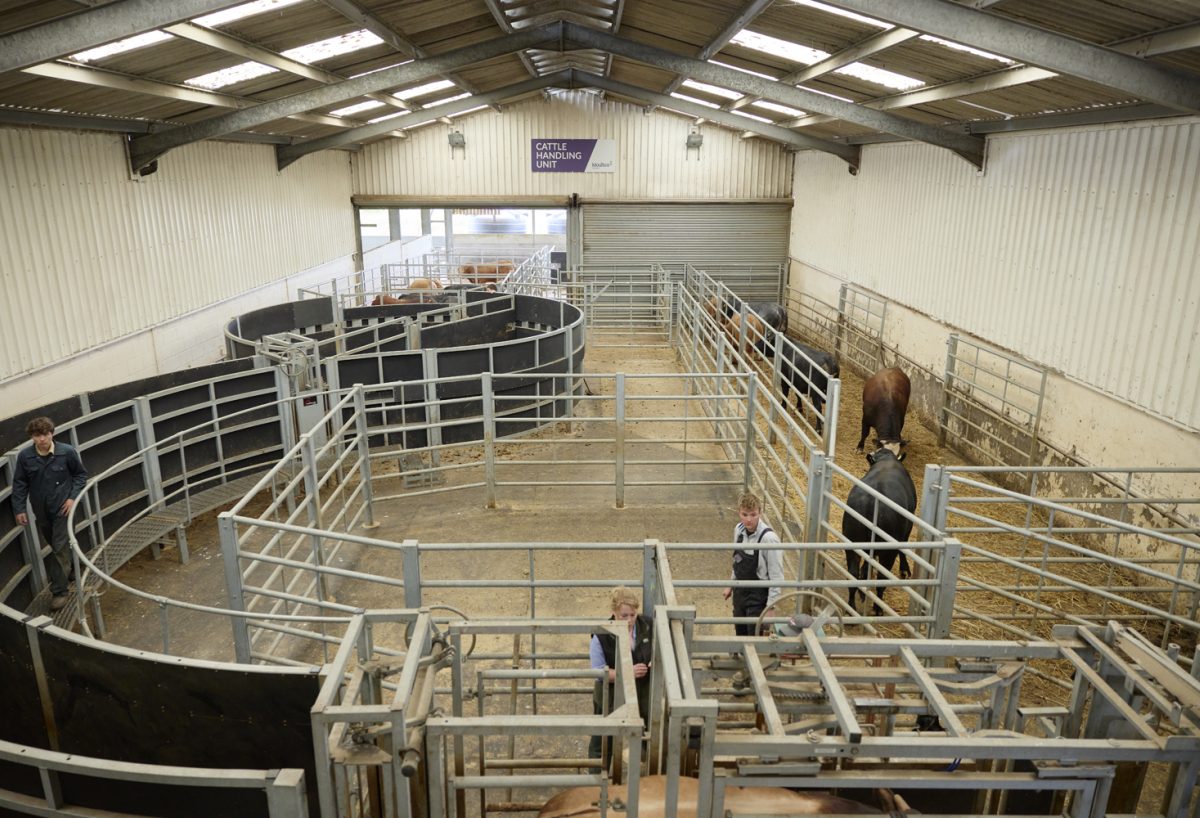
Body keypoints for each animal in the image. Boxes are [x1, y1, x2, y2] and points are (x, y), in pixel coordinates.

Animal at [844, 446, 916, 611]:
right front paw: (905, 569)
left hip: (852, 542)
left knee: (853, 573)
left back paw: (852, 606)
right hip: (888, 552)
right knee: (882, 579)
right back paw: (878, 609)